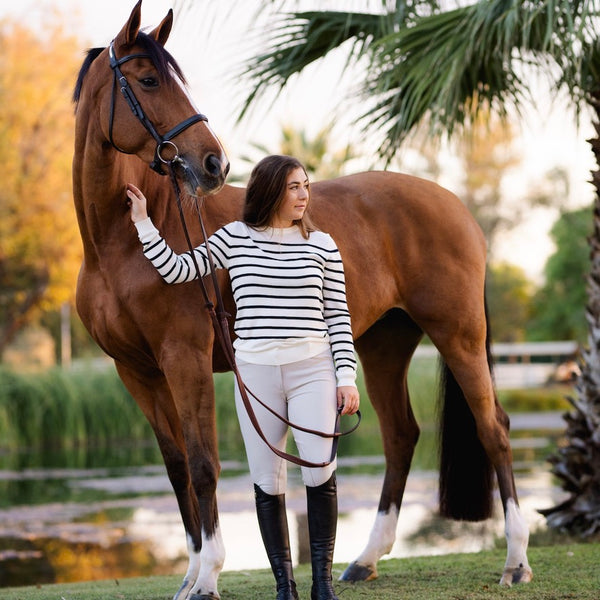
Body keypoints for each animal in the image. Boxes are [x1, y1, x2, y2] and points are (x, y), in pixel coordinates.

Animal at [72, 2, 532, 596]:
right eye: (149, 80)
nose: (213, 163)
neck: (120, 246)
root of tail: (455, 206)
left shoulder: (184, 359)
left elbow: (203, 464)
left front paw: (208, 577)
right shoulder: (137, 373)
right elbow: (176, 469)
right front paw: (191, 576)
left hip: (458, 336)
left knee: (493, 429)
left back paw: (515, 561)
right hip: (383, 344)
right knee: (400, 435)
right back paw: (365, 560)